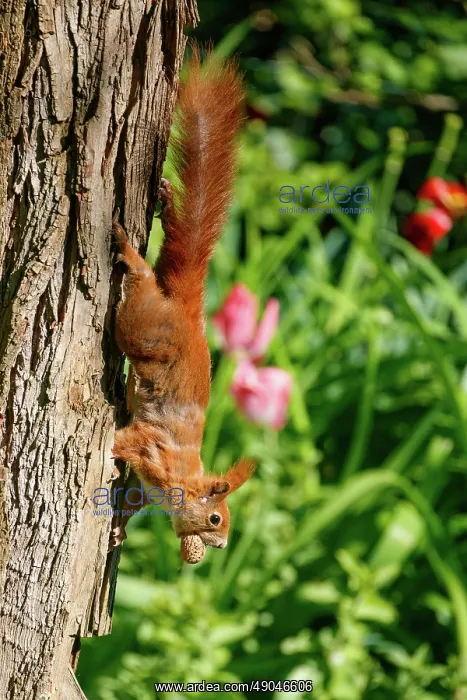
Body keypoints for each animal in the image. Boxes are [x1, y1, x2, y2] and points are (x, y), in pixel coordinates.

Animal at [109, 47, 254, 558]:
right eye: (215, 517)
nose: (223, 545)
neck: (186, 483)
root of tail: (191, 314)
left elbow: (132, 499)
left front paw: (120, 529)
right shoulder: (155, 452)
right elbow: (128, 442)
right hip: (143, 328)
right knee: (141, 288)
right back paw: (131, 255)